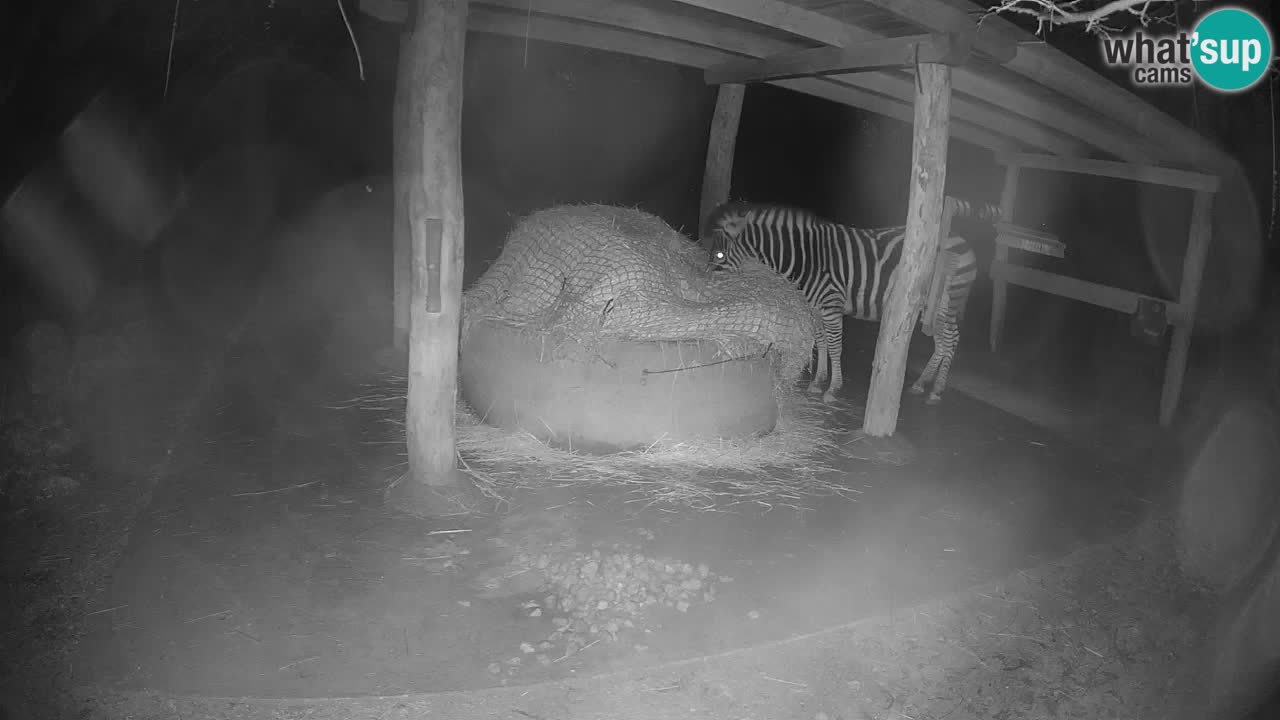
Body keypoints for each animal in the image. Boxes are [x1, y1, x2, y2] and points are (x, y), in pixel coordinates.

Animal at [702, 198, 1000, 405]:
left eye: (718, 255)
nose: (706, 287)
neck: (805, 258)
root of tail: (960, 238)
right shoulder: (815, 307)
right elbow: (821, 341)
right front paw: (818, 382)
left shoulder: (831, 305)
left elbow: (835, 346)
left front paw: (833, 389)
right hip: (933, 309)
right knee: (942, 342)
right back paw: (921, 384)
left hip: (946, 303)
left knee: (950, 340)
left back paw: (936, 391)